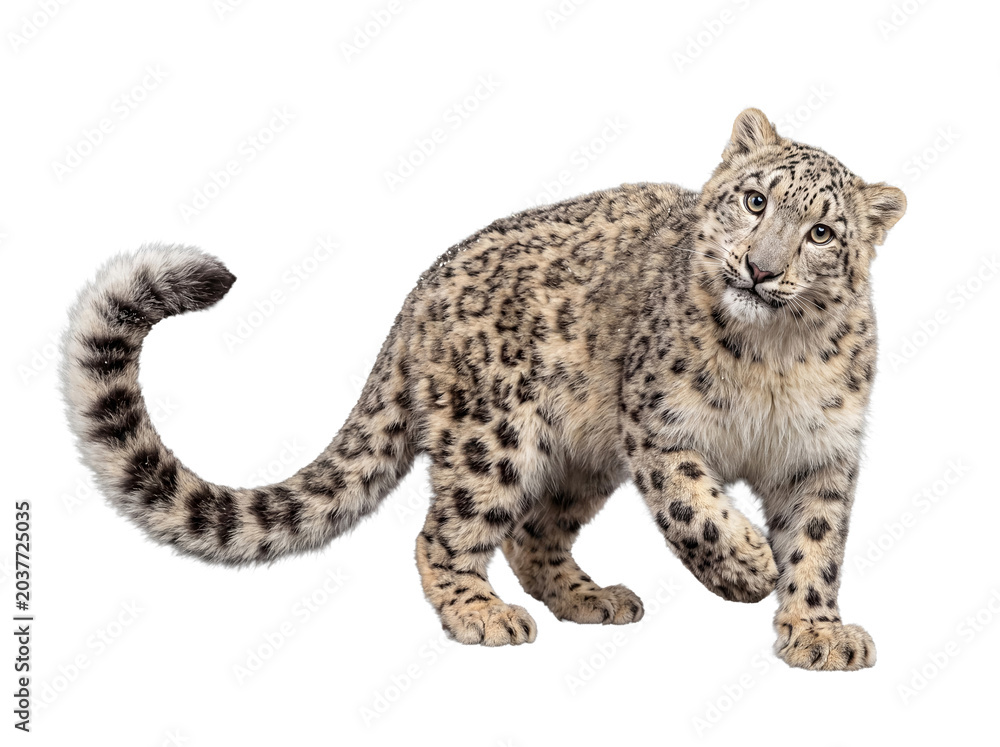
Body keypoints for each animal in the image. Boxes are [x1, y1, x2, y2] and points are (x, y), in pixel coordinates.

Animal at [61, 108, 905, 670]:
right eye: (756, 201)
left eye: (821, 233)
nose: (760, 268)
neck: (773, 356)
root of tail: (419, 293)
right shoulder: (660, 425)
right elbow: (696, 507)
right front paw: (748, 565)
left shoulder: (822, 455)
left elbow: (817, 545)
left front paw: (818, 629)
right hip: (492, 436)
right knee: (444, 533)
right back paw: (483, 614)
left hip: (577, 458)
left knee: (533, 532)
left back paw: (592, 598)